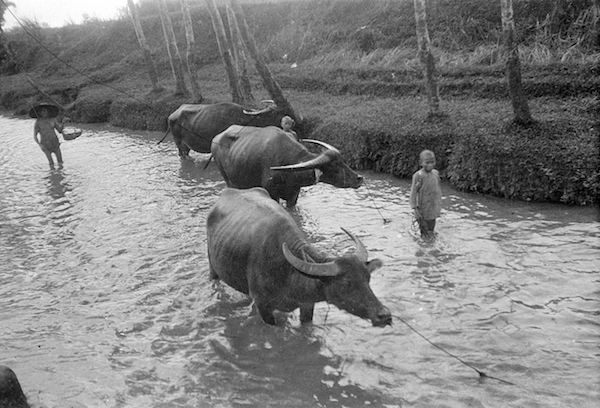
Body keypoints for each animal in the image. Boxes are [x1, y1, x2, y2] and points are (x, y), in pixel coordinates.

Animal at [206, 187, 394, 326]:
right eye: (347, 284)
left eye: (368, 279)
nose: (384, 315)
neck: (288, 273)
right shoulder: (263, 306)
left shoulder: (307, 305)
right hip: (213, 267)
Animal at [211, 124, 360, 207]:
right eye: (335, 166)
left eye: (343, 161)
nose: (359, 178)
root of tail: (216, 138)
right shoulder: (271, 193)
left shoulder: (294, 196)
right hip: (228, 179)